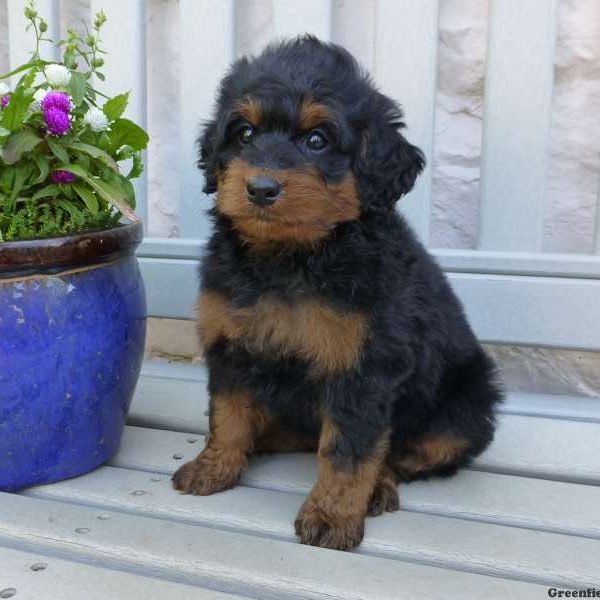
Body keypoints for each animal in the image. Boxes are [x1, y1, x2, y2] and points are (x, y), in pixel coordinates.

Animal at [173, 36, 502, 552]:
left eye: (316, 140)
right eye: (244, 134)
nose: (260, 188)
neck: (290, 258)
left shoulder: (363, 367)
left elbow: (349, 451)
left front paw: (331, 516)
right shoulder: (230, 346)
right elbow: (227, 415)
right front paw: (216, 466)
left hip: (466, 407)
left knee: (403, 453)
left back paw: (378, 487)